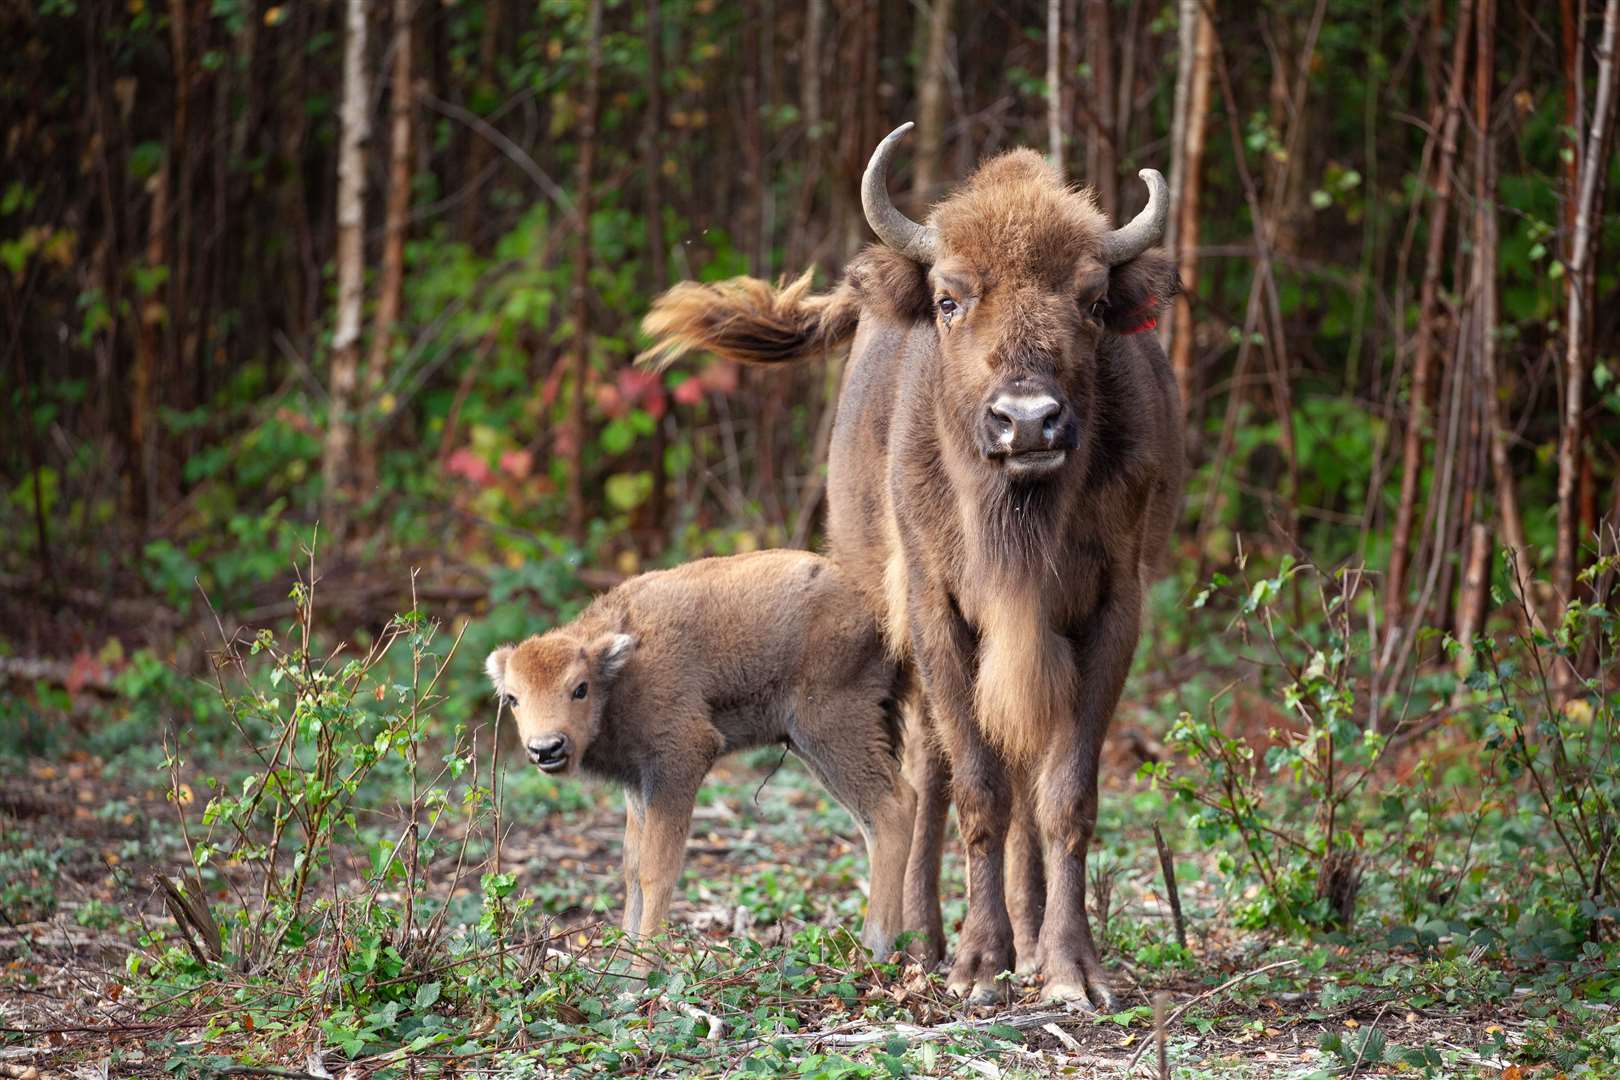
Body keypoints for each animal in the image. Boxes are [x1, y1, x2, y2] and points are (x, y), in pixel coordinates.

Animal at [479, 557, 920, 952]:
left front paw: (643, 970)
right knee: (872, 822)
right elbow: (632, 867)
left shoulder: (680, 760)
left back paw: (875, 947)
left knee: (894, 807)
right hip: (815, 748)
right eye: (512, 698)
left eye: (579, 688)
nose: (547, 748)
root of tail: (876, 612)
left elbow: (658, 869)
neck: (620, 674)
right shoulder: (638, 783)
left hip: (830, 730)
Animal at [638, 127, 1185, 1016]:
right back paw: (927, 940)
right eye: (950, 300)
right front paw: (978, 964)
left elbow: (1064, 793)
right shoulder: (937, 610)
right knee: (930, 774)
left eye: (1093, 302)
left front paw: (1069, 968)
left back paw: (1028, 936)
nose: (1027, 421)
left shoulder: (1110, 611)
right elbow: (977, 788)